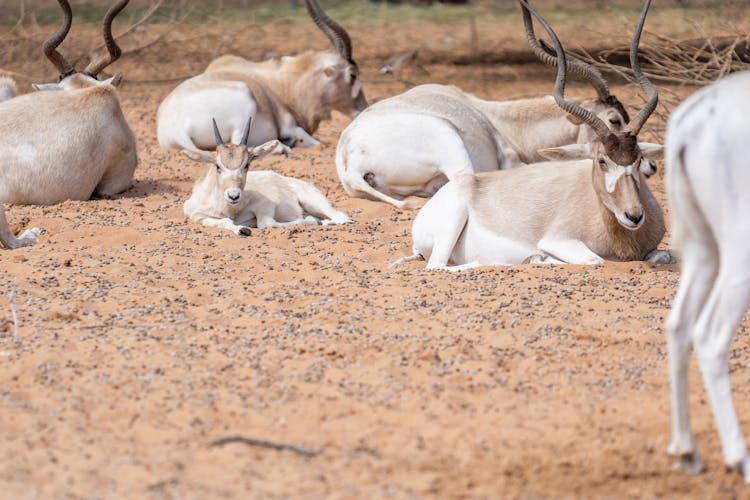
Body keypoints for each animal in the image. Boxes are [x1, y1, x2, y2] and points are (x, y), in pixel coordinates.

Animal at [187, 118, 354, 235]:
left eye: (247, 164)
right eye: (218, 166)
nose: (233, 196)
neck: (228, 209)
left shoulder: (264, 204)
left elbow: (266, 222)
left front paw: (309, 220)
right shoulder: (198, 216)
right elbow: (224, 222)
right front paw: (242, 229)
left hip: (313, 202)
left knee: (338, 215)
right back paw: (326, 223)